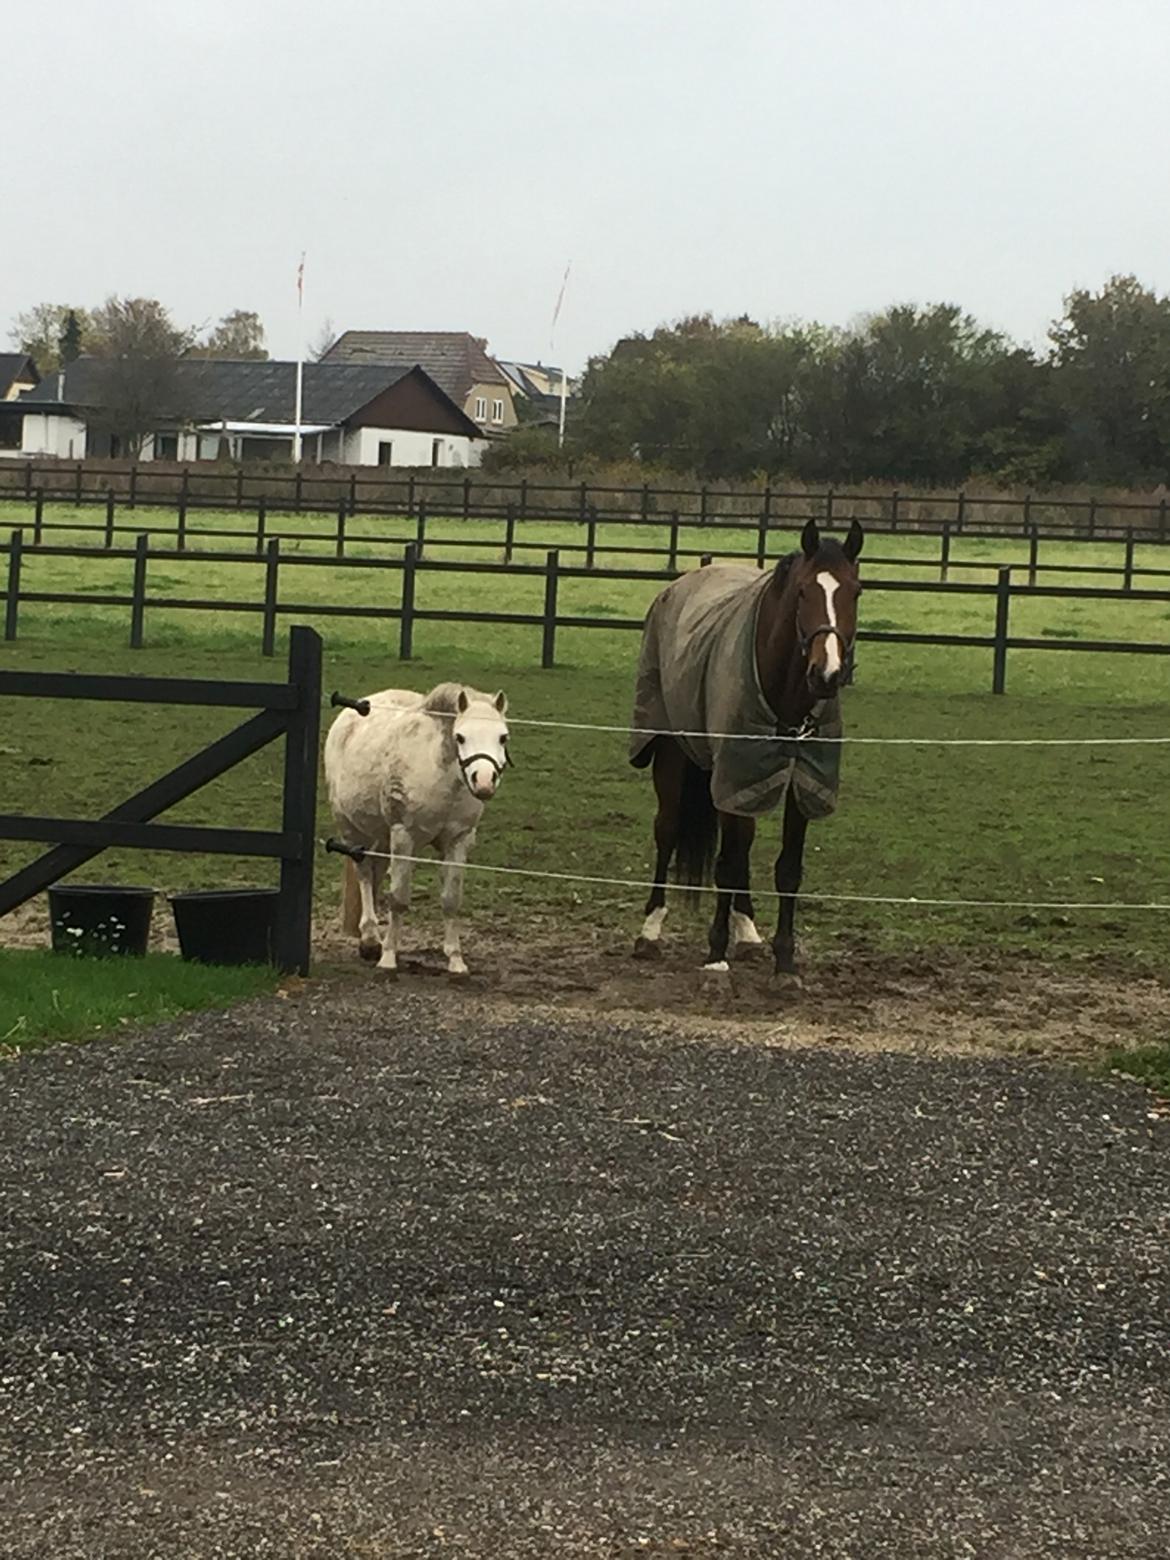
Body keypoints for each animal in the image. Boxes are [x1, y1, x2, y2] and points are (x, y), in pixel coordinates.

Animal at [330, 683, 511, 973]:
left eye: (503, 737)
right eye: (460, 737)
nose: (483, 781)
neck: (444, 779)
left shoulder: (458, 840)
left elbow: (451, 899)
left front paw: (455, 959)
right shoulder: (404, 836)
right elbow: (399, 898)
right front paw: (388, 957)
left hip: (383, 836)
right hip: (352, 830)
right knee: (365, 875)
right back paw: (369, 939)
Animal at [633, 517, 861, 979]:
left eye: (856, 591)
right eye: (803, 591)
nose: (827, 674)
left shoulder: (799, 780)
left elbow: (787, 869)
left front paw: (784, 959)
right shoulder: (734, 770)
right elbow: (727, 862)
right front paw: (716, 953)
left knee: (744, 843)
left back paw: (748, 931)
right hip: (671, 752)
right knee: (667, 830)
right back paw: (650, 930)